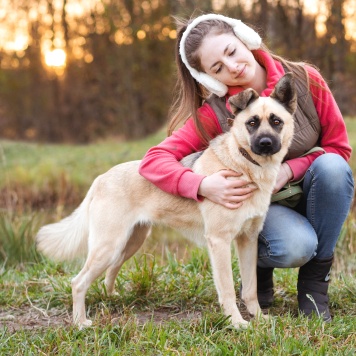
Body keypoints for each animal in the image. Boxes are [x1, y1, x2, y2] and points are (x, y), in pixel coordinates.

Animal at [36, 73, 298, 330]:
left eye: (276, 122)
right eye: (252, 123)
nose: (265, 143)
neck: (246, 166)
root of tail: (101, 178)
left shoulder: (248, 240)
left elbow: (251, 287)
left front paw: (259, 317)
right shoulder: (220, 241)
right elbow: (227, 289)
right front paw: (235, 322)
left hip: (130, 242)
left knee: (111, 270)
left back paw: (111, 299)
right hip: (108, 245)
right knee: (78, 282)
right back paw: (80, 322)